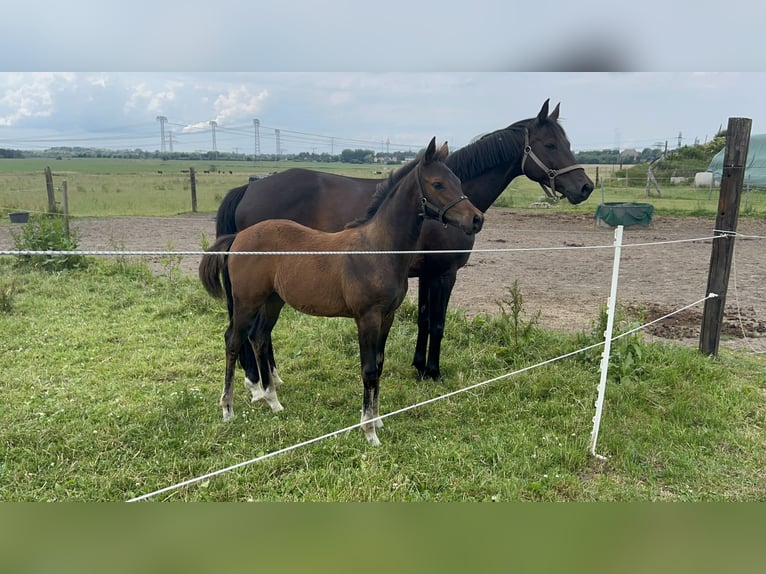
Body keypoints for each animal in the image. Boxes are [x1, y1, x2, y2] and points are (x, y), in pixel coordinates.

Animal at [200, 138, 486, 446]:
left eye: (458, 180)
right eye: (438, 184)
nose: (476, 219)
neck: (378, 249)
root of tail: (237, 238)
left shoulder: (387, 317)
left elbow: (379, 364)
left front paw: (378, 419)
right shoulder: (367, 317)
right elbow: (368, 369)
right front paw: (369, 431)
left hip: (273, 301)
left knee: (259, 337)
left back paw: (273, 401)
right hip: (247, 301)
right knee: (233, 340)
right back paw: (228, 408)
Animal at [218, 99, 600, 382]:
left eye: (567, 143)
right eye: (550, 145)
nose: (584, 187)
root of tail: (250, 187)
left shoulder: (424, 275)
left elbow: (423, 320)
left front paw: (418, 367)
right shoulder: (444, 274)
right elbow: (438, 323)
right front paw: (433, 372)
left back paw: (269, 378)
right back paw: (257, 381)